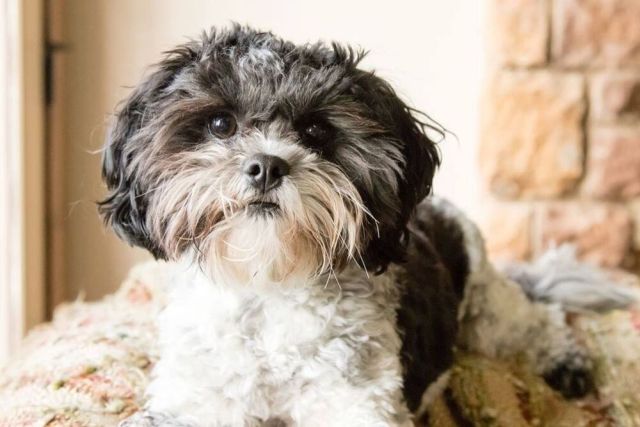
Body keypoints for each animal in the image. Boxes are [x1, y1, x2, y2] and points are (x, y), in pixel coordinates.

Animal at [100, 26, 624, 427]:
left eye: (316, 131)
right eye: (220, 124)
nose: (266, 166)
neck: (269, 286)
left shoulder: (357, 401)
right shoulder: (195, 400)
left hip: (487, 310)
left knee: (536, 321)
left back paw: (566, 362)